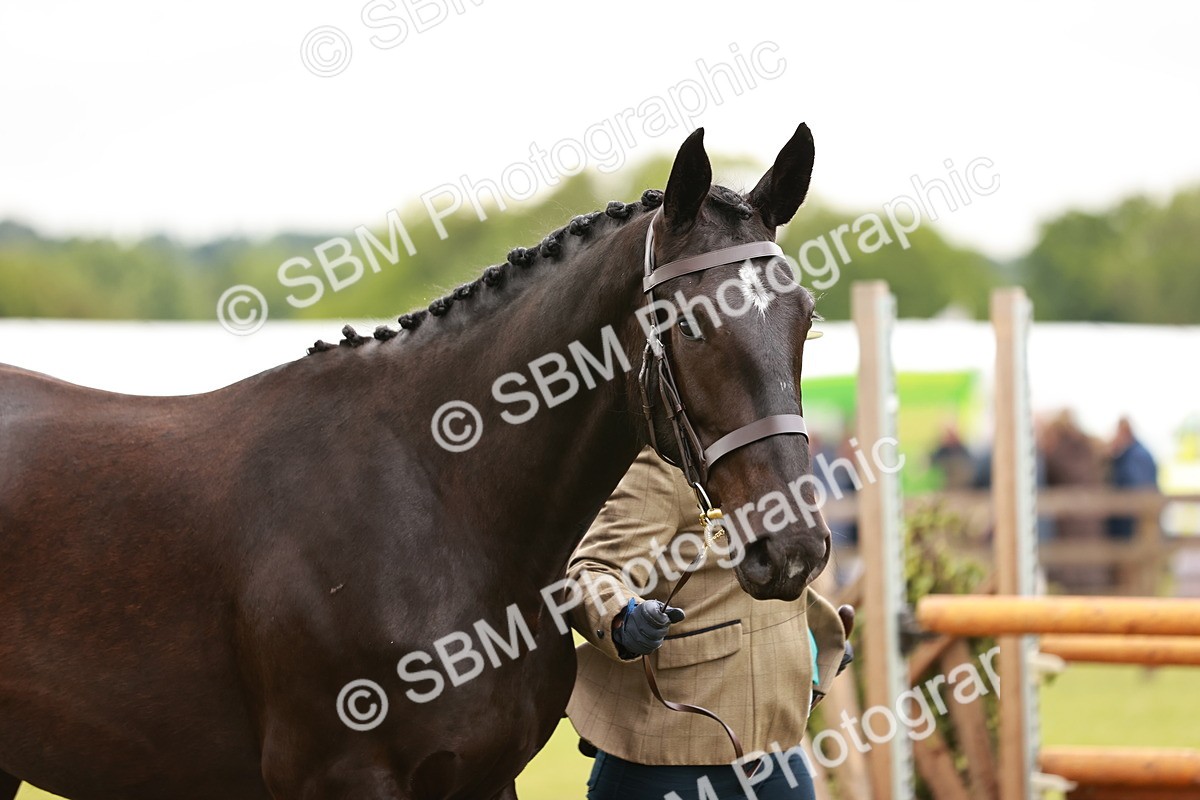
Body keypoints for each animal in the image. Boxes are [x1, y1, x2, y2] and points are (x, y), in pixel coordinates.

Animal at [0, 123, 830, 799]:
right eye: (688, 322)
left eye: (807, 318)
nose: (793, 547)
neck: (436, 505)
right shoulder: (342, 782)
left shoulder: (485, 781)